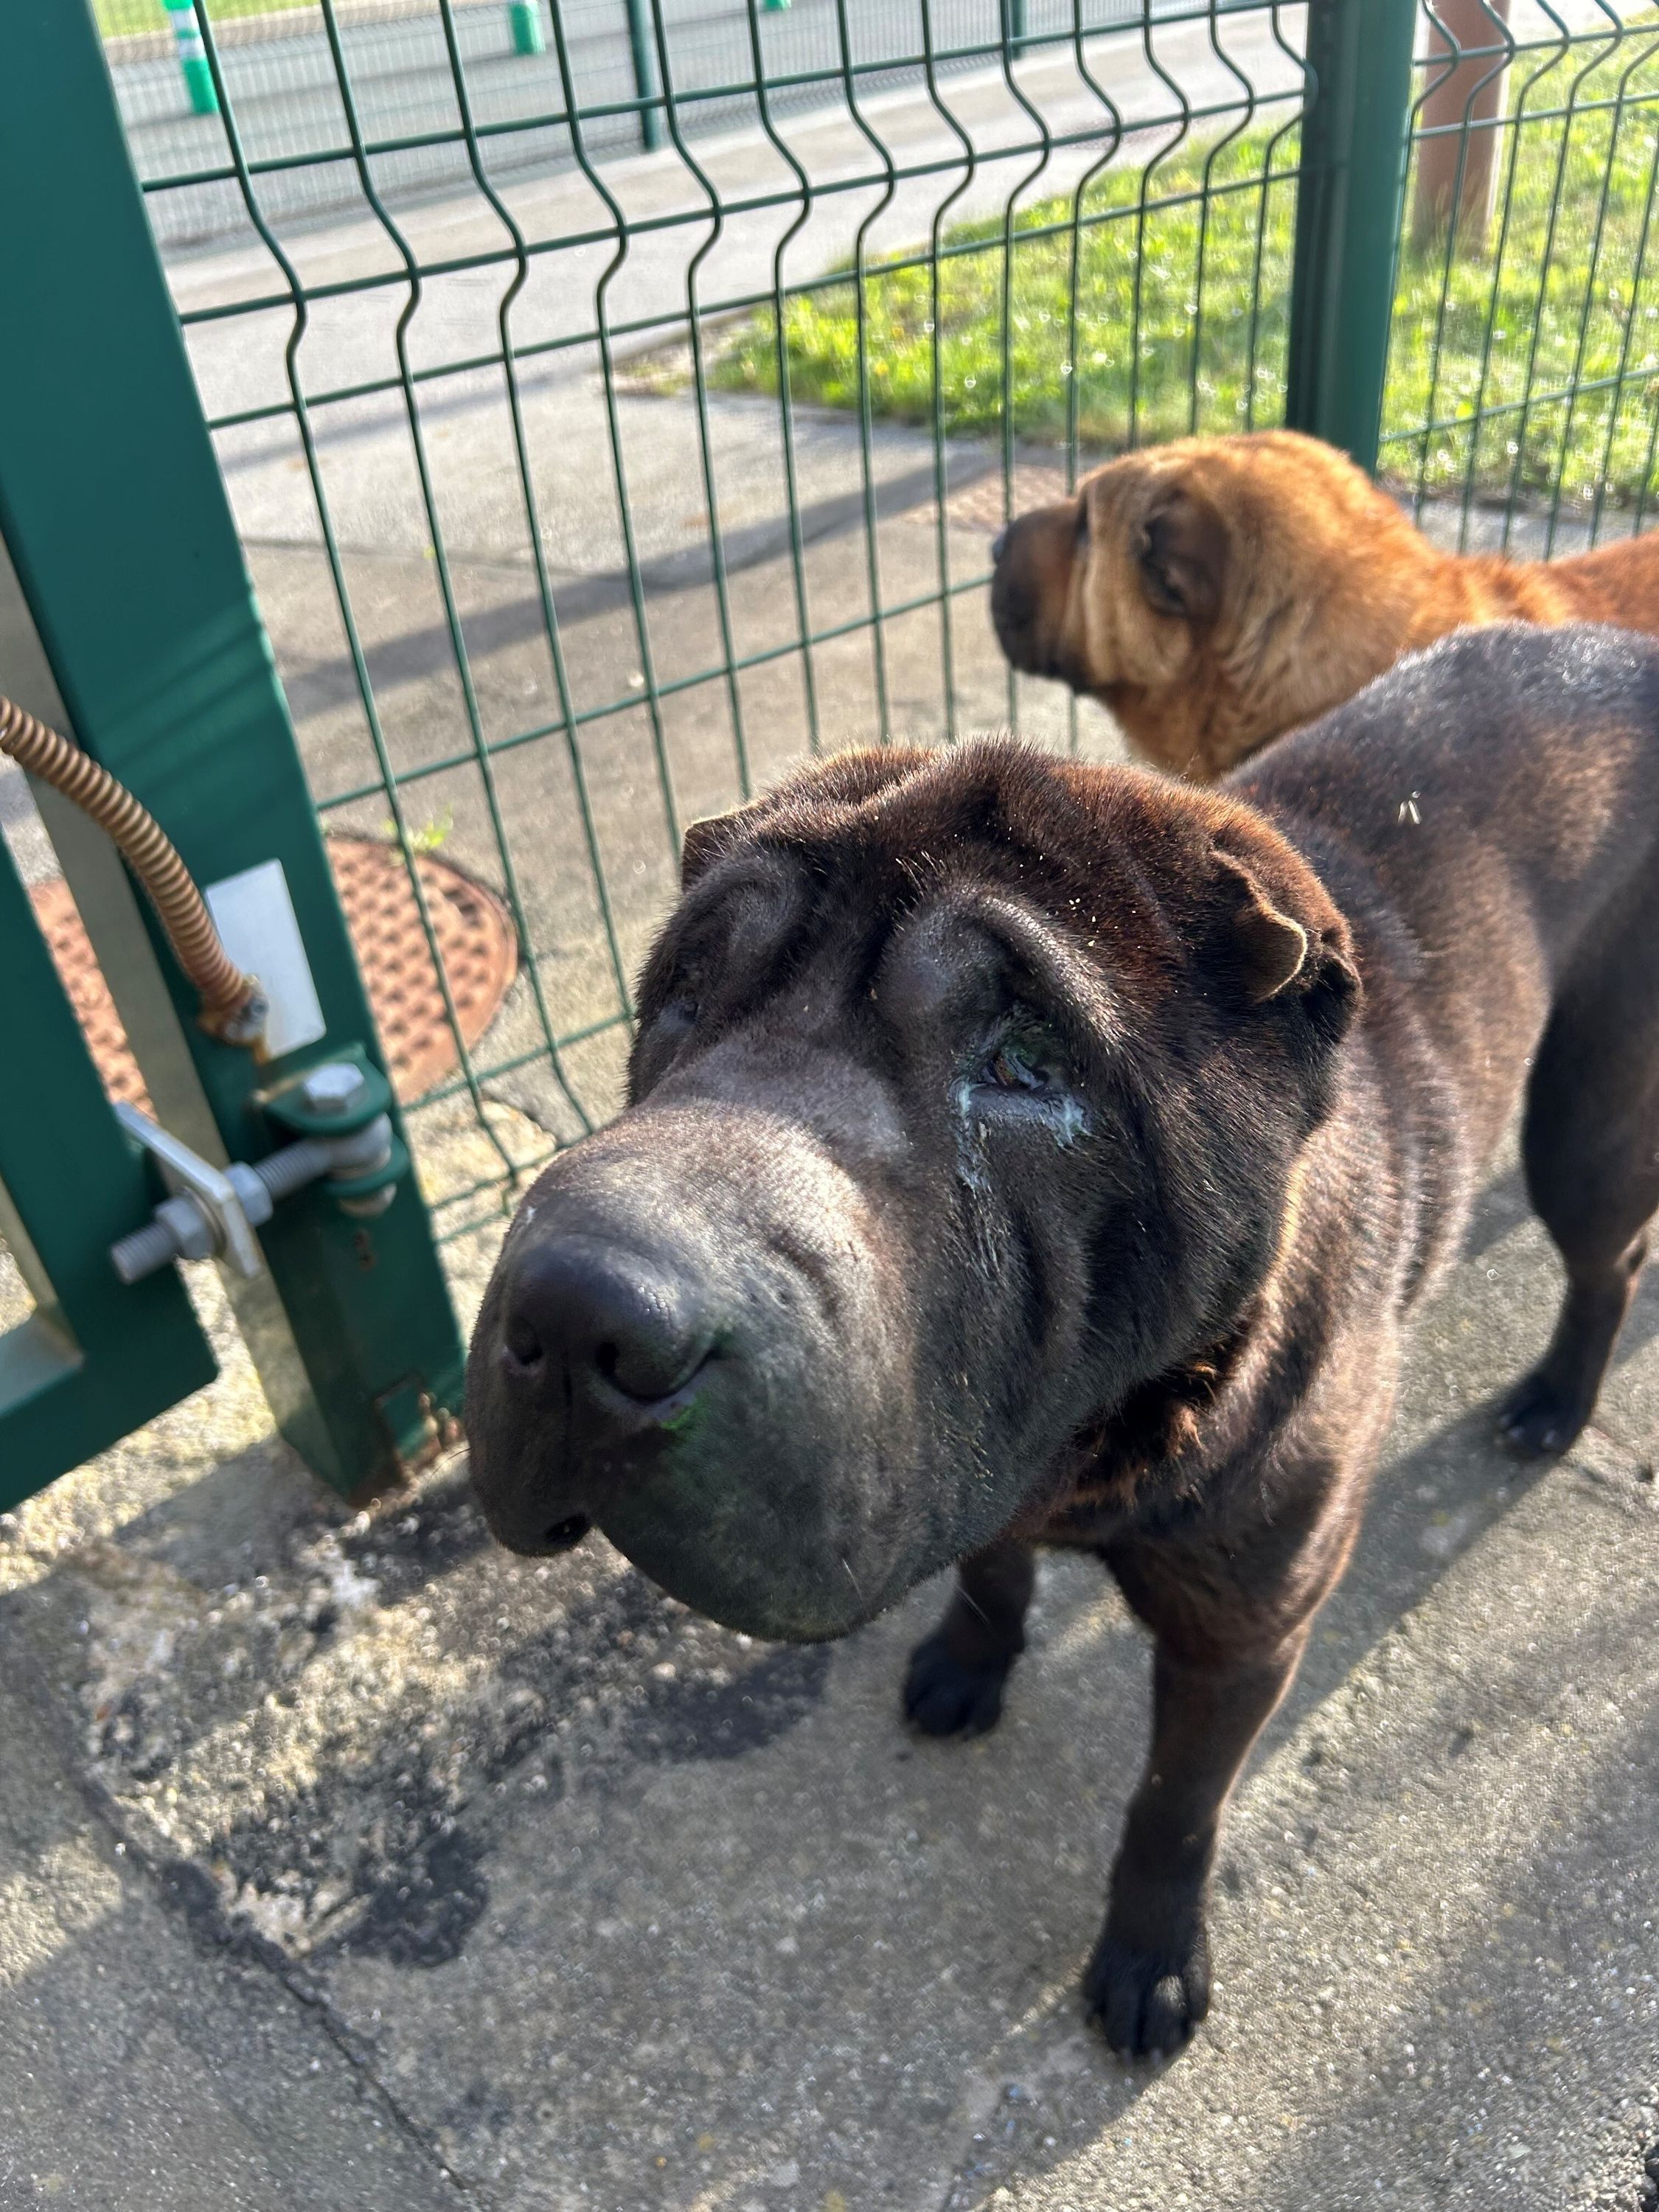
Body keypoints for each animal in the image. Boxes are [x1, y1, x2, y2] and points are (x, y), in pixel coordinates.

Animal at [467, 623, 1659, 2054]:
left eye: (1028, 1063)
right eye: (682, 998)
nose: (575, 1310)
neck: (1100, 1443)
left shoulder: (1240, 1636)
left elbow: (1175, 1805)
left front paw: (1148, 1955)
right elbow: (989, 1565)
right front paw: (969, 1659)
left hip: (1586, 1127)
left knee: (1608, 1255)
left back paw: (1554, 1399)